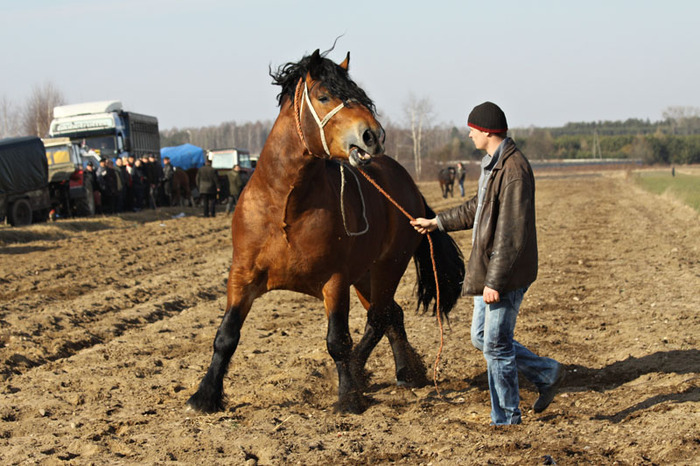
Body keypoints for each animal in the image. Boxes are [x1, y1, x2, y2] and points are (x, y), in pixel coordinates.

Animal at [186, 50, 464, 416]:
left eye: (360, 95)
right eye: (324, 96)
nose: (373, 136)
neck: (285, 206)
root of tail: (411, 188)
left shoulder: (335, 280)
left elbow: (338, 340)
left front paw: (348, 397)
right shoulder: (242, 276)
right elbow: (225, 336)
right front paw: (204, 397)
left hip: (387, 267)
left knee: (379, 316)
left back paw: (367, 373)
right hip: (365, 276)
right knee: (391, 314)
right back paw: (405, 372)